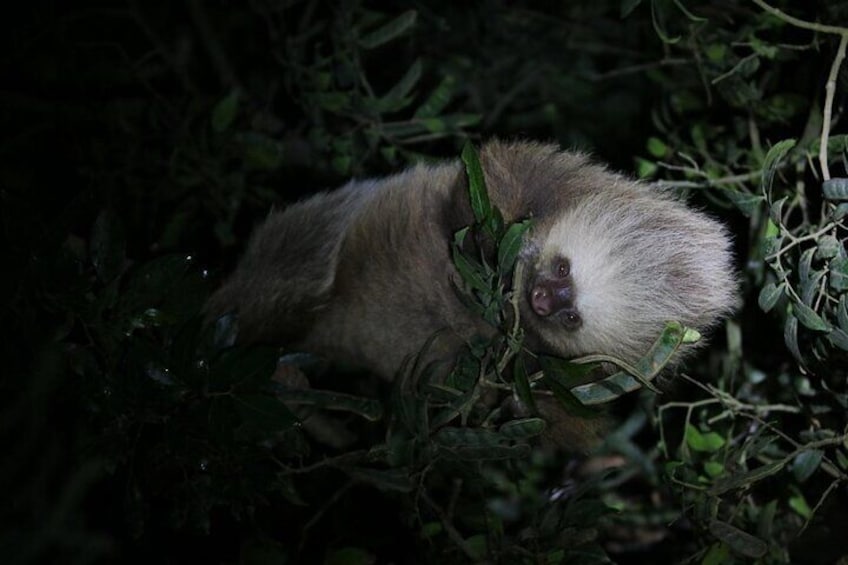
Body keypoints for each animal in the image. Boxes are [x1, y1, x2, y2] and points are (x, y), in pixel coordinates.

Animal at [206, 140, 738, 450]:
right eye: (562, 267)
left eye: (572, 318)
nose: (542, 299)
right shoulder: (553, 177)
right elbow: (481, 177)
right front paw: (492, 250)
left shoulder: (586, 381)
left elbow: (554, 423)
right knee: (299, 271)